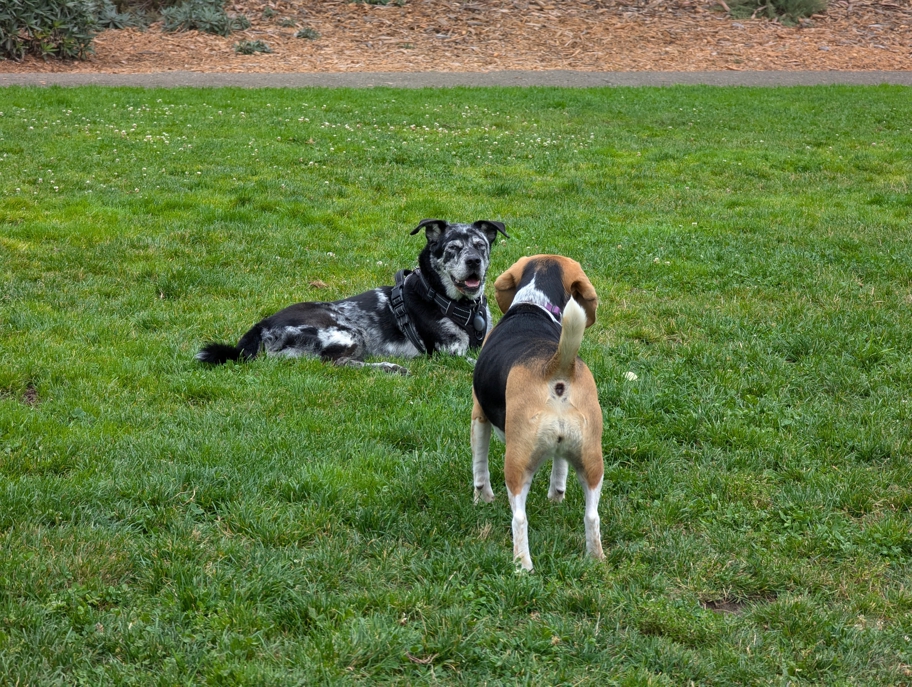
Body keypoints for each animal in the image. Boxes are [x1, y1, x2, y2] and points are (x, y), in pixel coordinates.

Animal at [197, 219, 510, 374]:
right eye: (453, 248)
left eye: (481, 245)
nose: (474, 261)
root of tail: (261, 325)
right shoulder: (450, 353)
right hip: (348, 331)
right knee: (335, 364)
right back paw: (389, 367)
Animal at [470, 255, 604, 572]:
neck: (534, 304)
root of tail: (557, 368)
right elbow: (560, 468)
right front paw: (556, 497)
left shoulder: (478, 414)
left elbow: (479, 465)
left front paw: (482, 497)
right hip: (592, 459)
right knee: (592, 515)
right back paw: (596, 559)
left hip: (516, 463)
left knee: (519, 517)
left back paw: (522, 565)